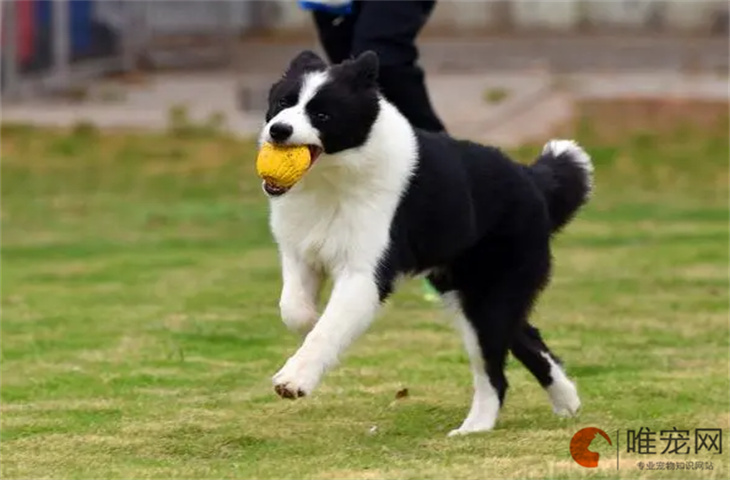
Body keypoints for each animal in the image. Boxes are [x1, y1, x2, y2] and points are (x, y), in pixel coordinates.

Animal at [258, 49, 588, 436]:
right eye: (283, 102)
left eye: (322, 114)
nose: (279, 130)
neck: (334, 179)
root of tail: (531, 179)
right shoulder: (300, 252)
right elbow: (293, 309)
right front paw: (309, 319)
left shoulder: (365, 274)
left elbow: (329, 328)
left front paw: (294, 380)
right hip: (469, 291)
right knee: (525, 336)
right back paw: (566, 400)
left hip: (490, 294)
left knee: (495, 371)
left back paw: (473, 428)